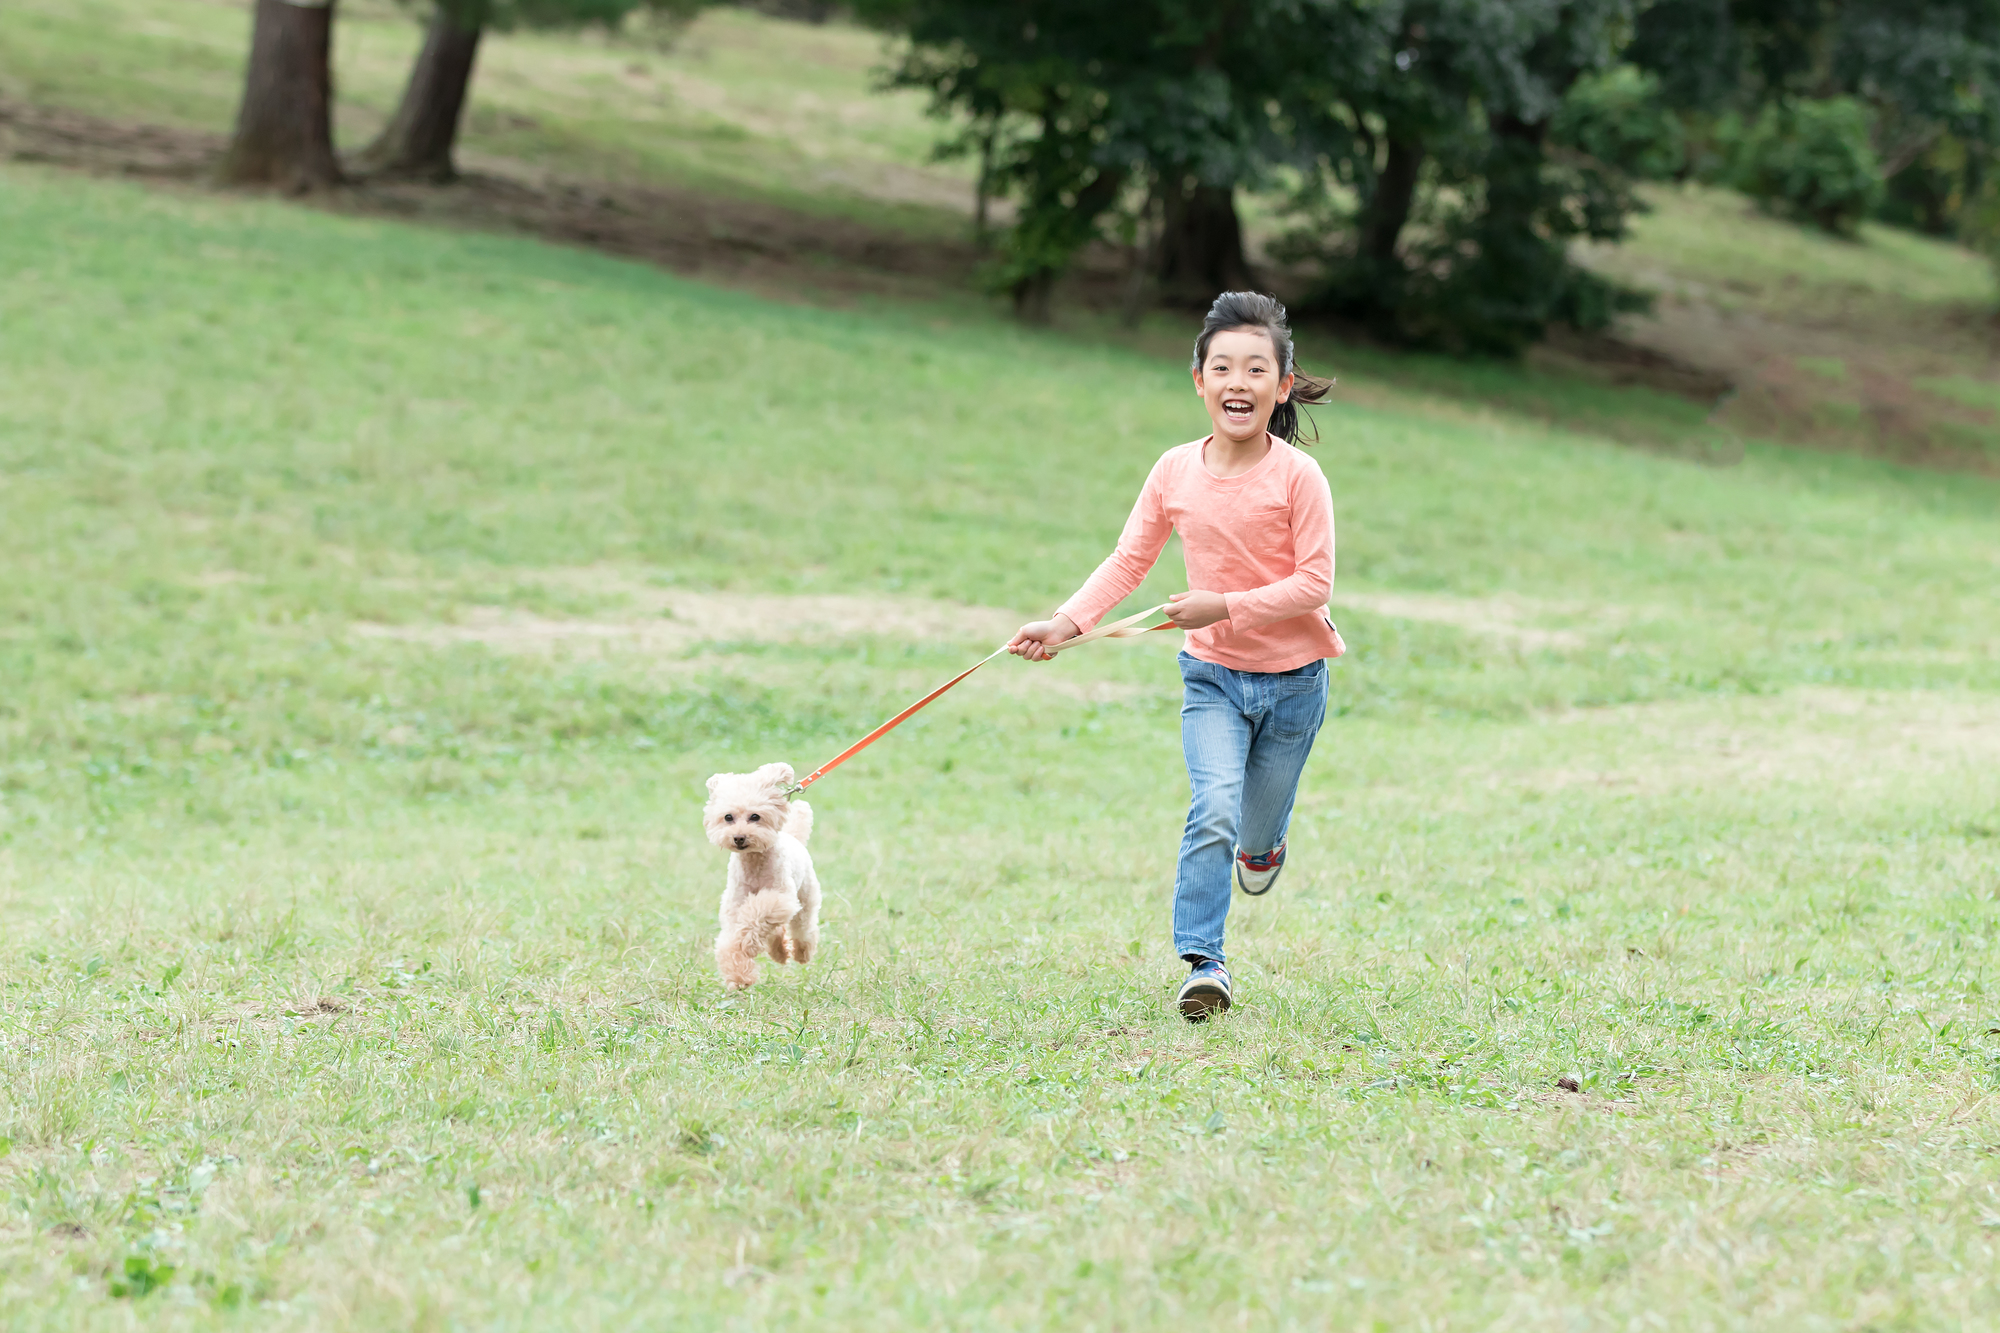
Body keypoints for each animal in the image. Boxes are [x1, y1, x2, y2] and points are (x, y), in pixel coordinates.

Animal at [704, 756, 820, 984]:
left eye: (755, 817)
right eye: (728, 817)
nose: (739, 837)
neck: (754, 862)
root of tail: (794, 837)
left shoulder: (780, 897)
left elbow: (756, 914)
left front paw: (747, 944)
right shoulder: (733, 906)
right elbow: (731, 940)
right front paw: (738, 975)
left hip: (806, 896)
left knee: (803, 927)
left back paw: (802, 952)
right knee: (776, 931)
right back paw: (779, 952)